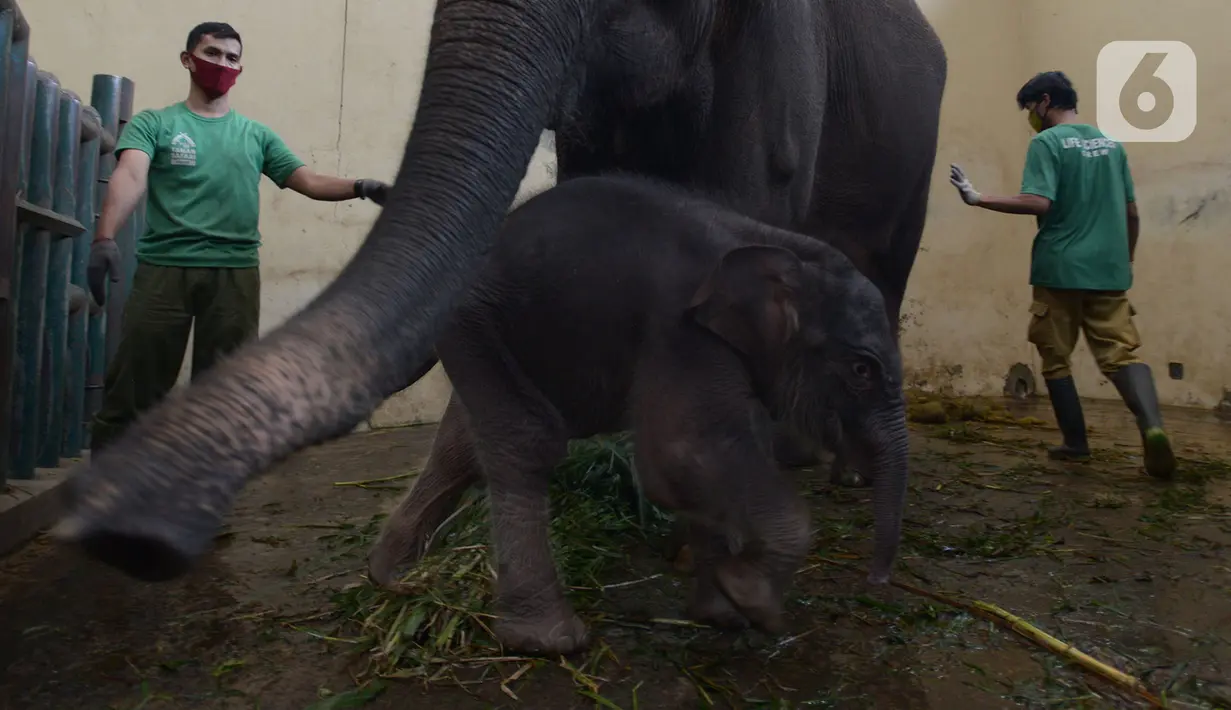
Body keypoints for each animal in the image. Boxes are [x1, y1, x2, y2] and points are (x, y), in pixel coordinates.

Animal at [53, 0, 945, 584]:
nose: (123, 535)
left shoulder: (776, 54)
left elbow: (739, 217)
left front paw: (706, 539)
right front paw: (395, 559)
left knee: (884, 275)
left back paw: (844, 478)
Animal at [366, 175, 910, 653]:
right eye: (862, 369)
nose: (878, 579)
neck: (770, 243)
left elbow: (717, 455)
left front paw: (723, 612)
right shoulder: (680, 330)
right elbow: (683, 454)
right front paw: (755, 602)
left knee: (461, 447)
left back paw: (394, 578)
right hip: (473, 318)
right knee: (523, 439)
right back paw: (546, 641)